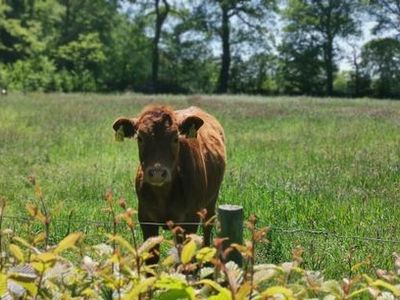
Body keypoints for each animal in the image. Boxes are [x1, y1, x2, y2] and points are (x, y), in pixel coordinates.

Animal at [112, 105, 225, 262]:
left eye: (176, 138)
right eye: (140, 138)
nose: (157, 173)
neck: (163, 195)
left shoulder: (190, 220)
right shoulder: (146, 219)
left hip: (211, 200)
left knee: (208, 226)